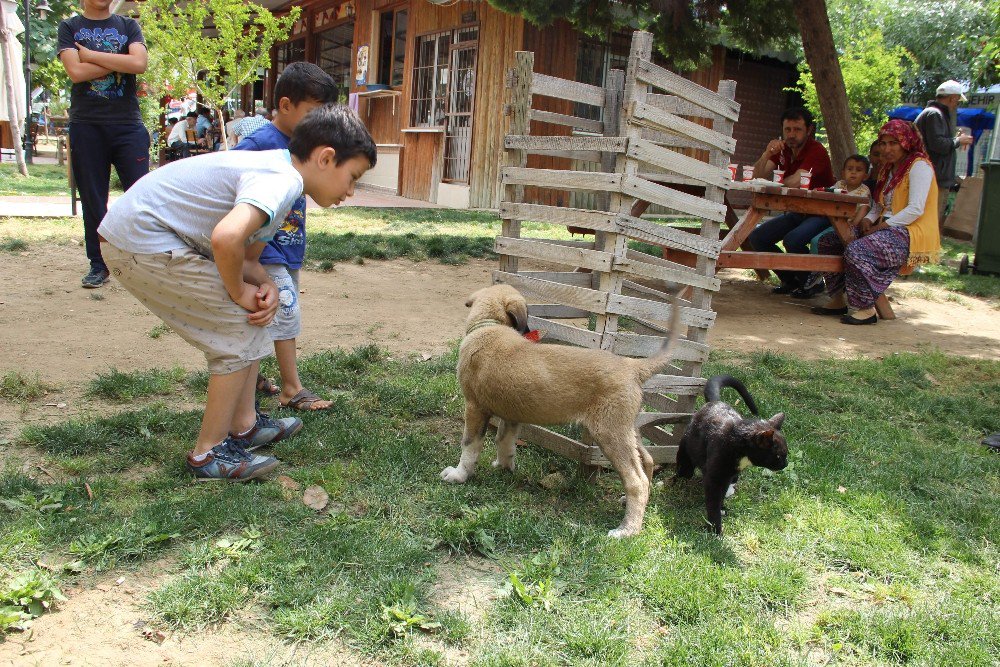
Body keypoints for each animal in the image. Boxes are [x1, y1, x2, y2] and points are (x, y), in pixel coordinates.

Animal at [444, 284, 684, 540]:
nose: (529, 331)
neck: (489, 326)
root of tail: (632, 366)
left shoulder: (474, 407)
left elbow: (469, 446)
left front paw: (459, 475)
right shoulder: (511, 415)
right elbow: (504, 442)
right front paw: (504, 467)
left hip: (610, 434)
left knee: (636, 481)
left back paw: (627, 529)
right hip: (627, 428)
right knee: (646, 461)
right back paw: (631, 505)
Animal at [672, 376, 788, 536]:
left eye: (786, 454)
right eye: (778, 456)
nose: (785, 464)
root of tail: (715, 402)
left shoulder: (726, 475)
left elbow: (720, 496)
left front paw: (722, 509)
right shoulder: (715, 478)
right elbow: (713, 503)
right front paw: (716, 530)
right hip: (687, 458)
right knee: (684, 471)